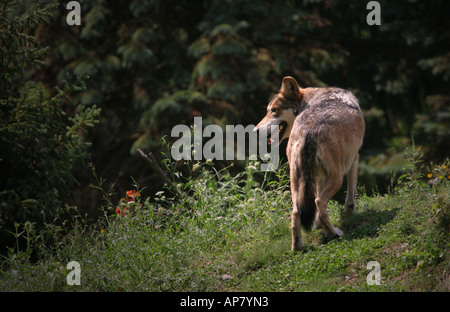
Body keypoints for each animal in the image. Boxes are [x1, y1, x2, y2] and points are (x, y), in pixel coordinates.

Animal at [255, 76, 364, 251]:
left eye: (273, 110)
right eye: (269, 110)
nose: (255, 131)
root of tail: (308, 131)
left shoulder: (318, 177)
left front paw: (318, 227)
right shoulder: (354, 159)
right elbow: (350, 199)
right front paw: (347, 217)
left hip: (296, 182)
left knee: (296, 212)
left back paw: (297, 247)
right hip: (337, 177)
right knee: (319, 202)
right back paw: (334, 233)